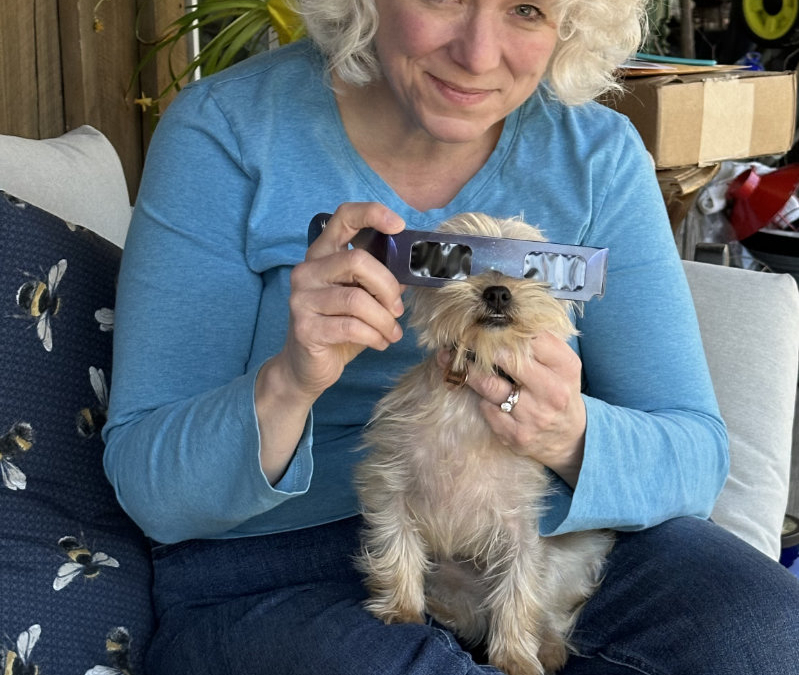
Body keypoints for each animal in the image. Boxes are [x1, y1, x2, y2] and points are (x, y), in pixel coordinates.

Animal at [354, 213, 612, 675]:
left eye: (533, 270)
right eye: (452, 263)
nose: (497, 290)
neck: (468, 406)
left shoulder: (521, 526)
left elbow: (519, 589)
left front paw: (516, 656)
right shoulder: (391, 483)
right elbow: (398, 543)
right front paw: (401, 609)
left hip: (575, 554)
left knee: (549, 612)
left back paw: (548, 646)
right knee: (469, 610)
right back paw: (445, 611)